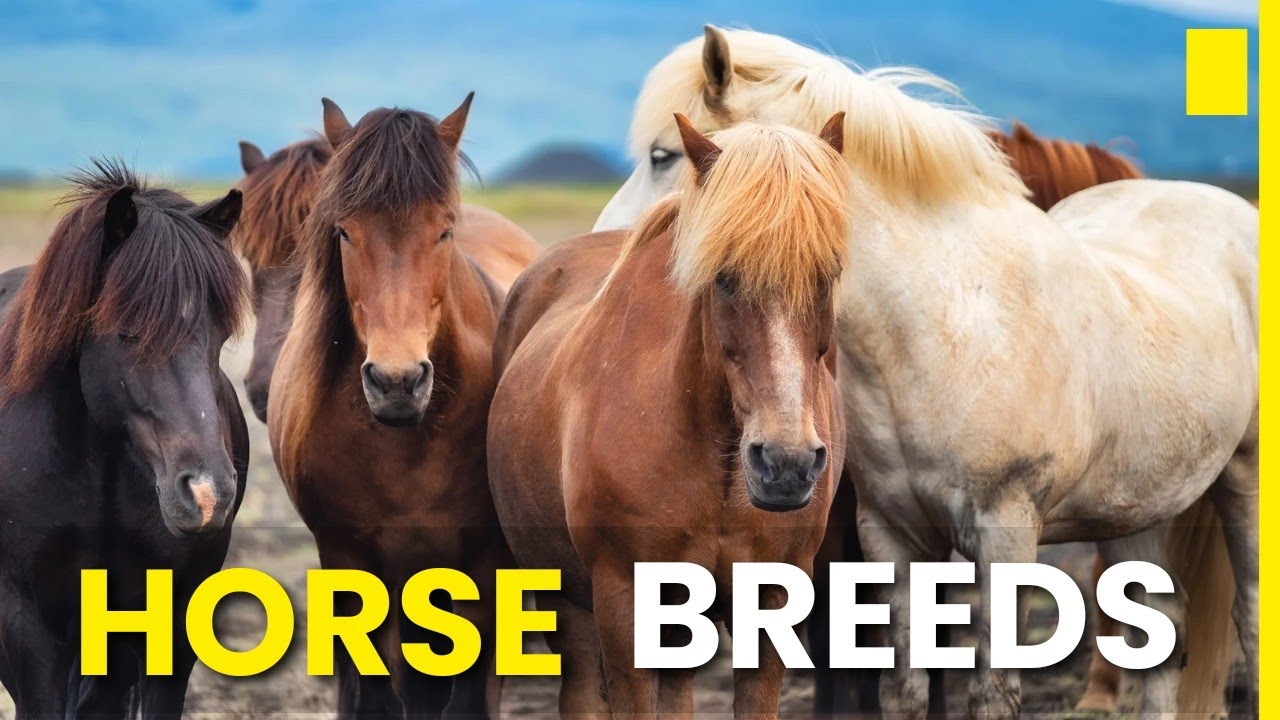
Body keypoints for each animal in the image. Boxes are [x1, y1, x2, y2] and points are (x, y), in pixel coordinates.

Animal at [488, 116, 850, 717]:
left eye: (830, 274)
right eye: (724, 277)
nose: (786, 463)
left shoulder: (772, 601)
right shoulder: (623, 602)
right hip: (566, 599)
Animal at [594, 26, 1256, 718]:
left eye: (663, 155)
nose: (607, 251)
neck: (942, 321)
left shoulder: (1005, 531)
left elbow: (992, 693)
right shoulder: (891, 536)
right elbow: (904, 687)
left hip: (1244, 479)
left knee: (1250, 616)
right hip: (1132, 509)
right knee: (1162, 635)